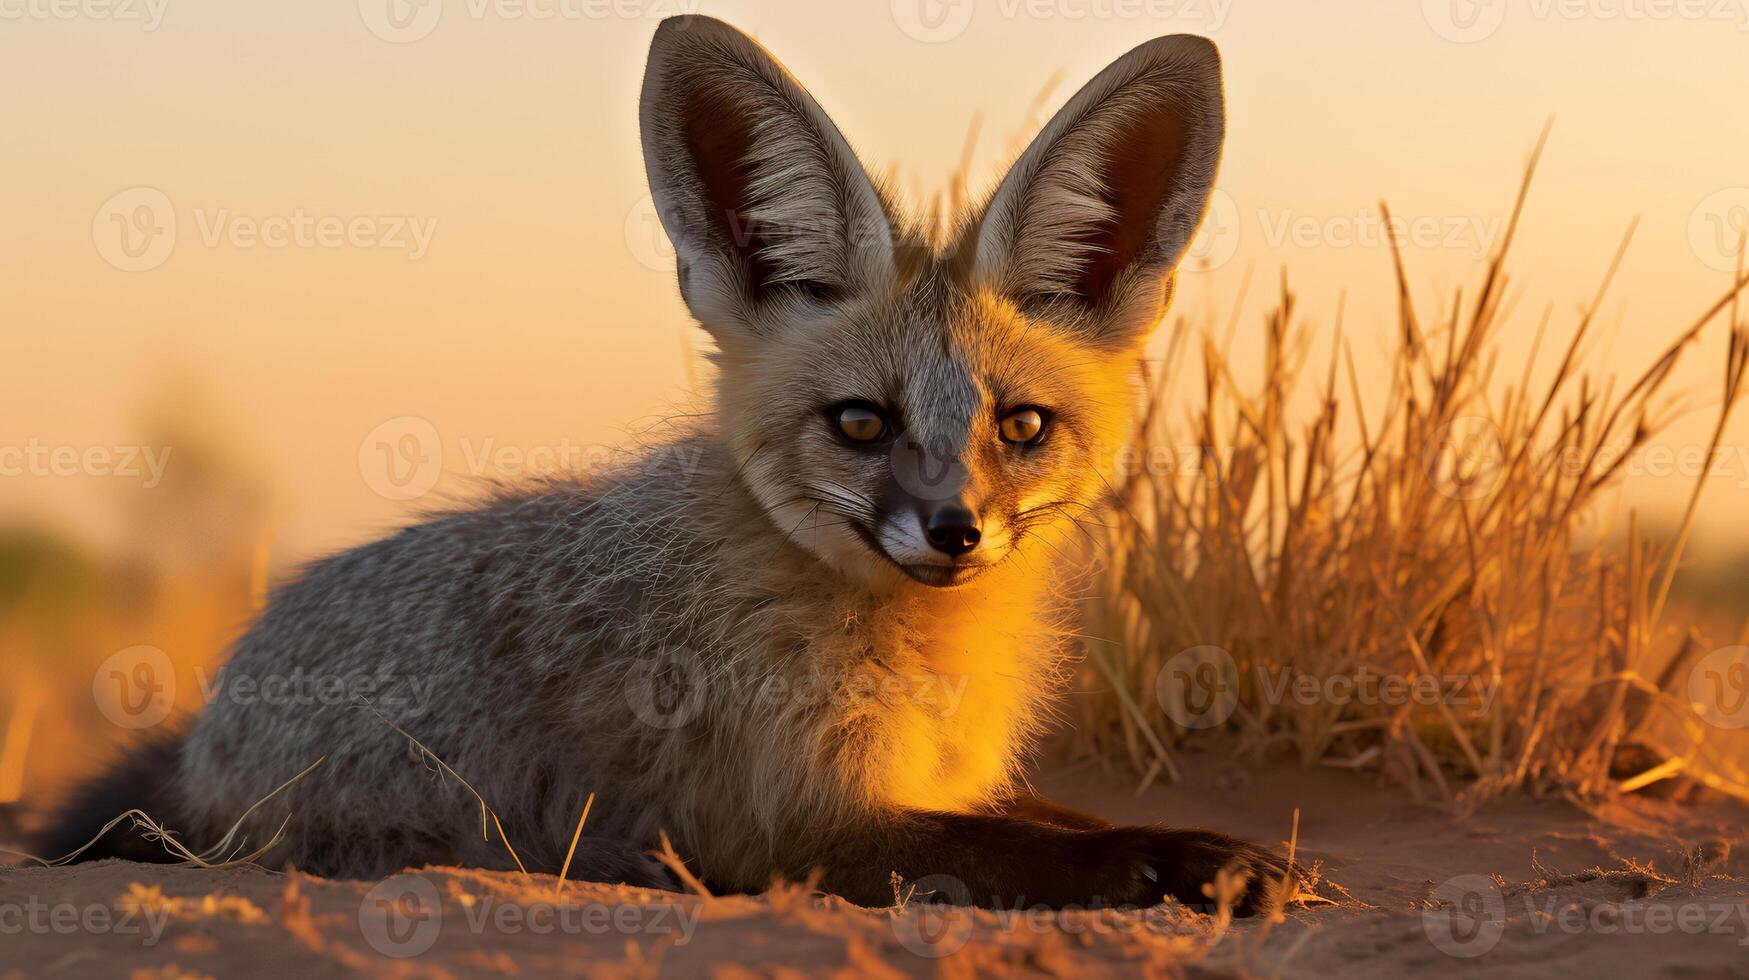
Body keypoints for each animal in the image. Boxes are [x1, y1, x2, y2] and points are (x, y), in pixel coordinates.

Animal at [47, 13, 1294, 910]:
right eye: (861, 423)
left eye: (1021, 426)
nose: (957, 532)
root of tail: (218, 705)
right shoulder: (802, 826)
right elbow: (1039, 851)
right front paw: (1184, 857)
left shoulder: (930, 780)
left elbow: (1056, 815)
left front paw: (1219, 847)